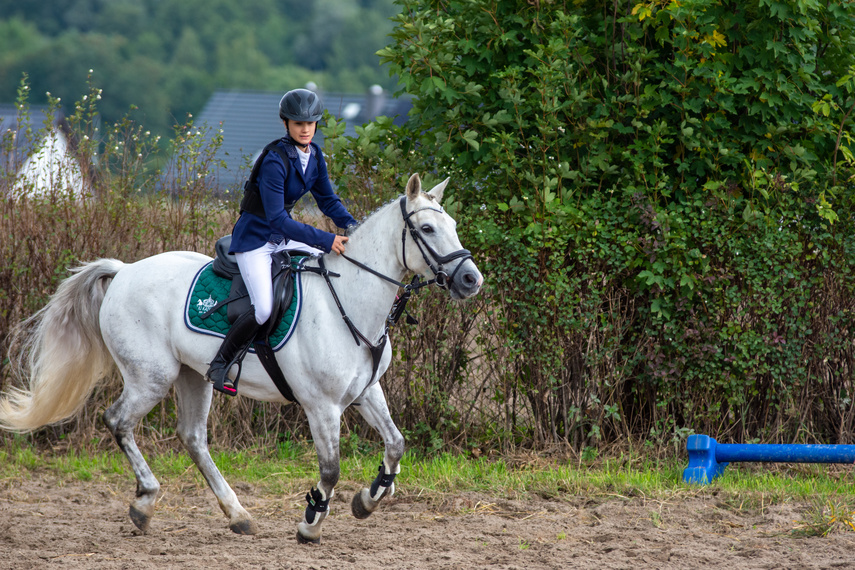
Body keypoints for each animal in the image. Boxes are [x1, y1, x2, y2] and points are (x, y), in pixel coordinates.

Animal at [0, 172, 482, 540]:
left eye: (455, 224)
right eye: (427, 230)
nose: (471, 280)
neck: (349, 300)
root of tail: (125, 271)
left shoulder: (366, 392)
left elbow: (396, 444)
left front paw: (369, 499)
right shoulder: (321, 406)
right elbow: (330, 469)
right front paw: (311, 523)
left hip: (192, 376)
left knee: (193, 437)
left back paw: (238, 515)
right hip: (151, 376)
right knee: (119, 421)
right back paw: (145, 502)